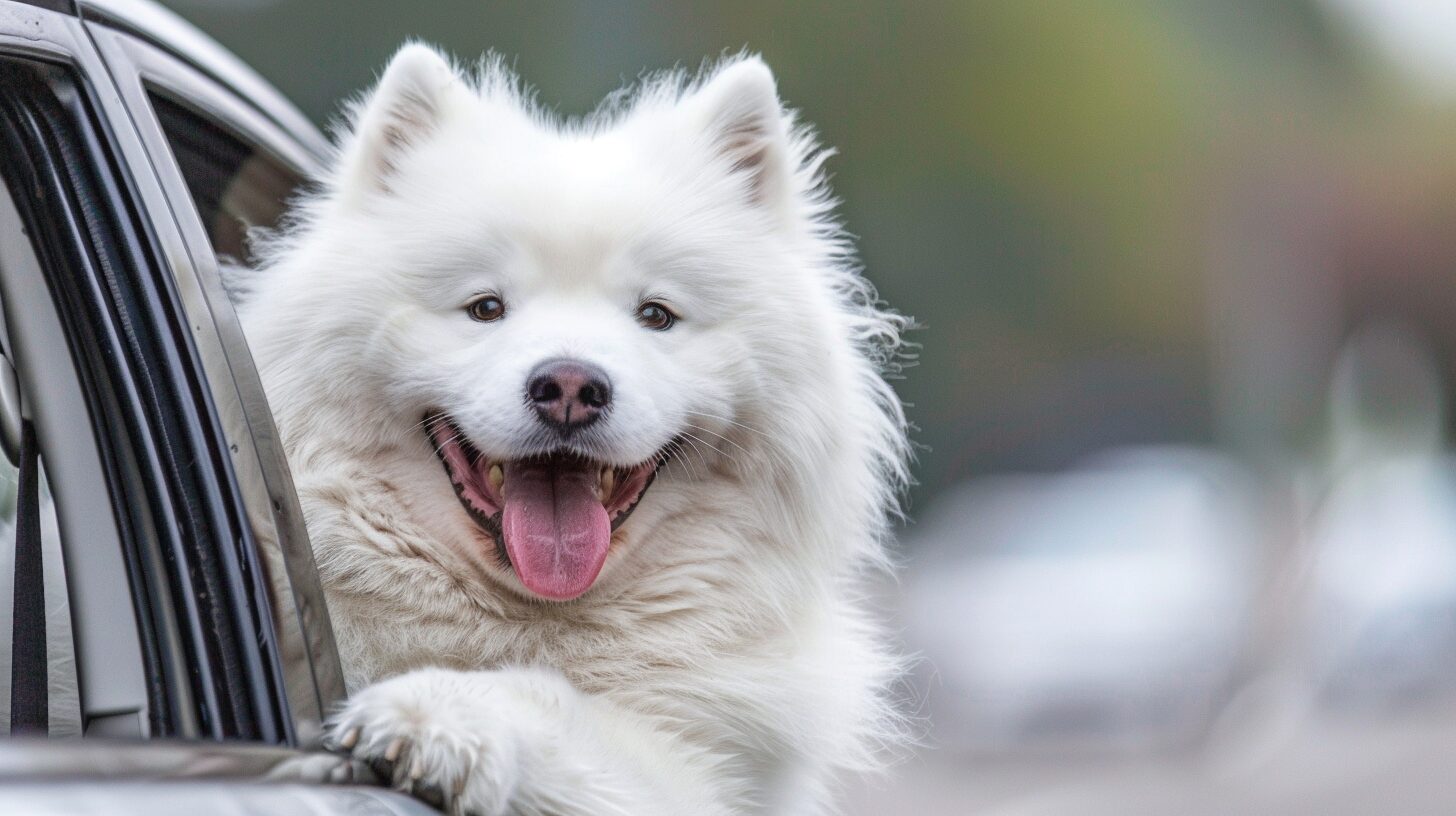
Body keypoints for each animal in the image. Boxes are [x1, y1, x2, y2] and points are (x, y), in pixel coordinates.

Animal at [246, 46, 914, 816]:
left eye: (655, 315)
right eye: (485, 307)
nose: (569, 388)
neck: (531, 618)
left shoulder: (698, 772)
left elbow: (548, 700)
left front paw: (436, 712)